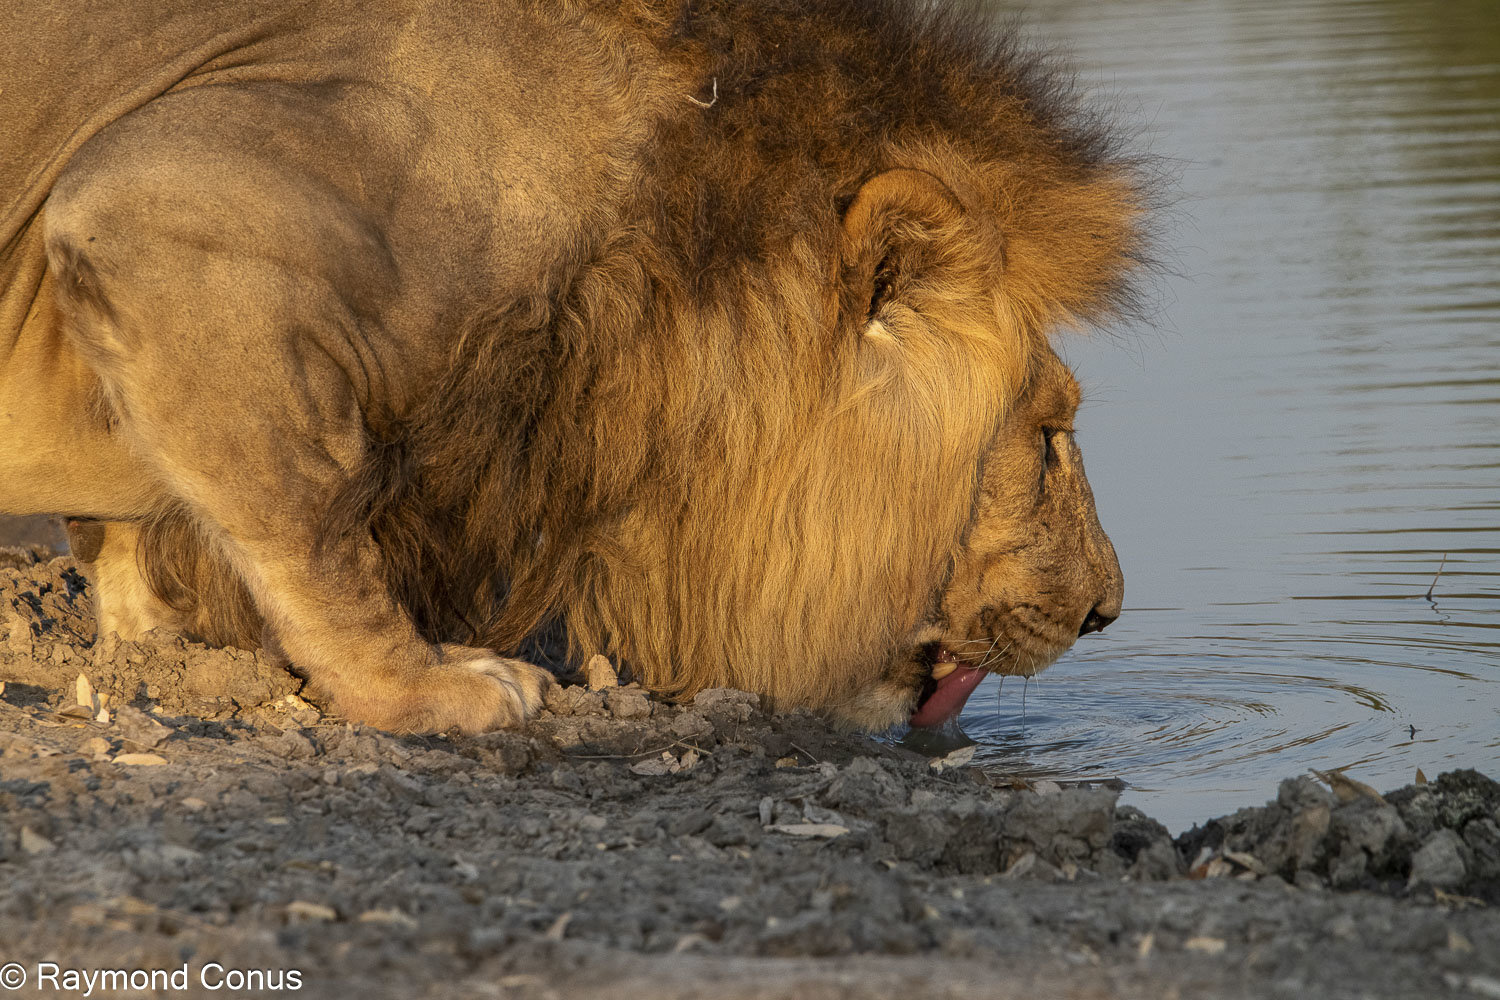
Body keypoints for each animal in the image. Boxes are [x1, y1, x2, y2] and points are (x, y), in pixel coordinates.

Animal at [1, 0, 1147, 734]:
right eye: (1048, 437)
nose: (1107, 613)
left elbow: (130, 535)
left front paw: (157, 649)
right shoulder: (153, 202)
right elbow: (312, 521)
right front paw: (422, 688)